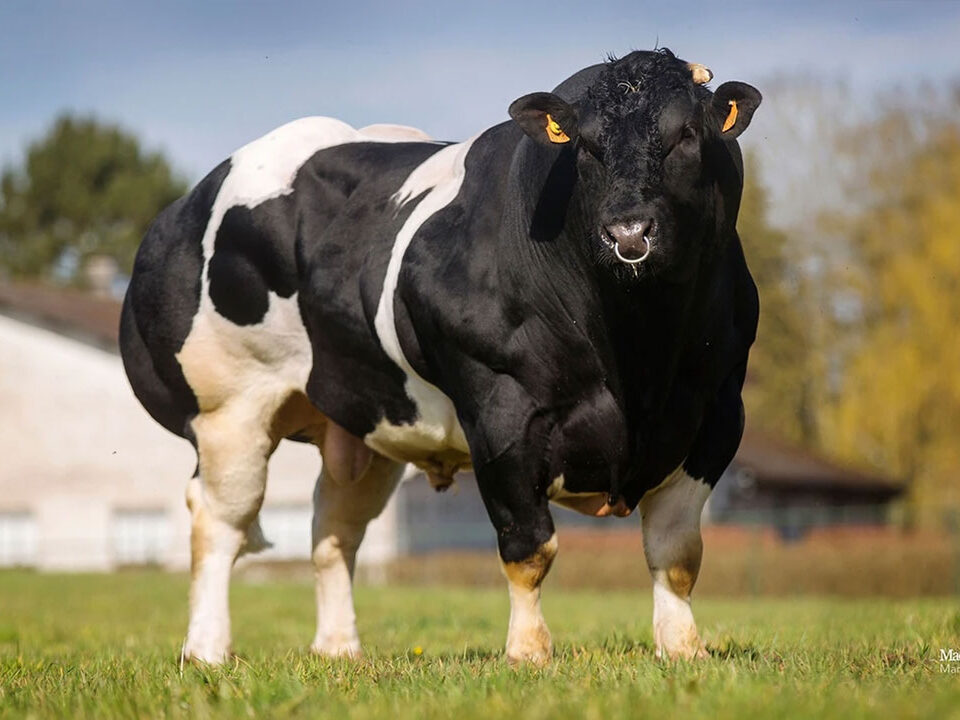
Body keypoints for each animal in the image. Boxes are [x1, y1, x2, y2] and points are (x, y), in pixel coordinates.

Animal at [120, 47, 761, 666]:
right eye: (585, 144)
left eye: (687, 134)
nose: (628, 232)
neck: (637, 358)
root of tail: (185, 203)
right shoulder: (502, 412)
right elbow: (529, 544)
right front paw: (528, 653)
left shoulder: (717, 411)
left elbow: (676, 551)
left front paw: (684, 649)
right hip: (228, 408)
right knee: (218, 521)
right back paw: (207, 651)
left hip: (366, 419)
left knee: (333, 528)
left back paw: (339, 649)